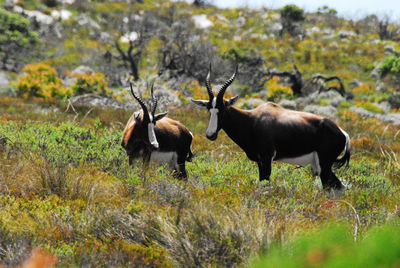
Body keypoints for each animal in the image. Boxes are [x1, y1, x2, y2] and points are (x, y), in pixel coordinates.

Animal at [191, 65, 350, 191]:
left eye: (223, 110)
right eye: (209, 109)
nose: (210, 134)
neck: (252, 120)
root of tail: (343, 133)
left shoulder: (267, 159)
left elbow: (266, 184)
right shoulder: (260, 162)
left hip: (325, 166)